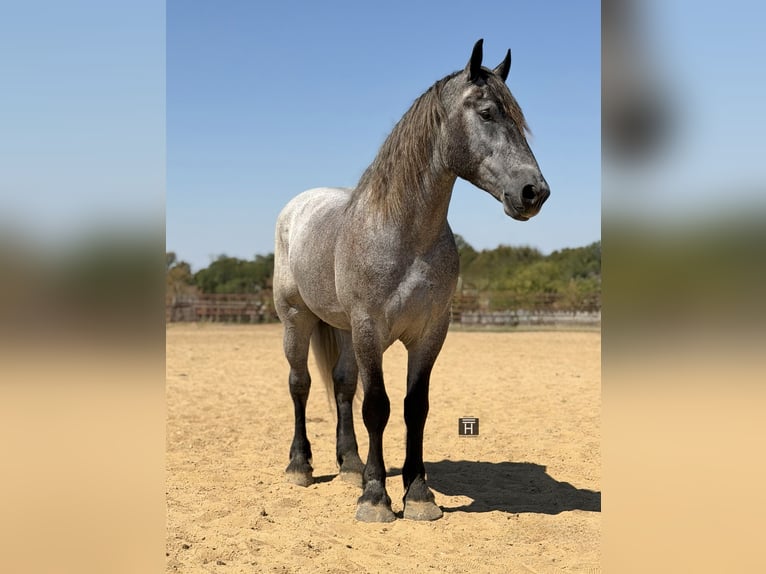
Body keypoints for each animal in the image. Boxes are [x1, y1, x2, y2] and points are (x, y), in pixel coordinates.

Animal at [273, 39, 550, 522]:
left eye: (518, 119)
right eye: (487, 113)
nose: (535, 192)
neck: (403, 233)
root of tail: (298, 206)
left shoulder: (429, 333)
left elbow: (414, 407)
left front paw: (417, 494)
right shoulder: (370, 330)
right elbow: (378, 407)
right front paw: (376, 498)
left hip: (342, 329)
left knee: (342, 386)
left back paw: (350, 466)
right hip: (297, 319)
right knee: (300, 384)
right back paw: (300, 466)